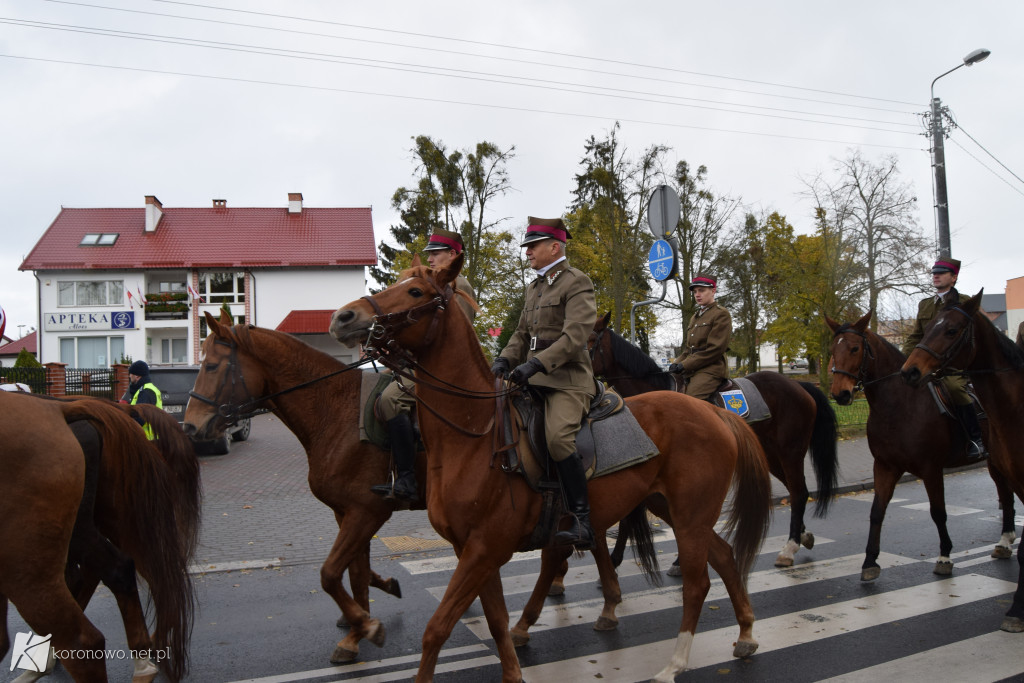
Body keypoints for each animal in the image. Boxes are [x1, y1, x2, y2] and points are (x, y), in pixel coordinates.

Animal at [327, 254, 770, 683]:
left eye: (415, 291)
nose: (343, 317)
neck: (473, 435)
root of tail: (712, 411)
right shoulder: (471, 549)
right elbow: (496, 620)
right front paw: (514, 668)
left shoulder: (485, 548)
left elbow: (437, 628)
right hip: (671, 509)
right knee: (725, 556)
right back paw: (747, 634)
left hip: (691, 515)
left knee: (697, 584)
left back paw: (674, 664)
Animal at [589, 311, 835, 565]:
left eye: (590, 339)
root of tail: (799, 385)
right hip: (771, 454)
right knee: (798, 491)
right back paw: (803, 536)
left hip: (790, 451)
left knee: (798, 492)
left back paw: (790, 547)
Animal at [827, 309, 1019, 581]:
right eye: (833, 348)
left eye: (854, 348)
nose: (839, 394)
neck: (899, 403)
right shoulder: (885, 467)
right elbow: (877, 512)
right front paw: (870, 562)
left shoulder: (931, 469)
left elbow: (938, 512)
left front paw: (945, 557)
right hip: (995, 460)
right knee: (1005, 493)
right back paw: (1004, 541)